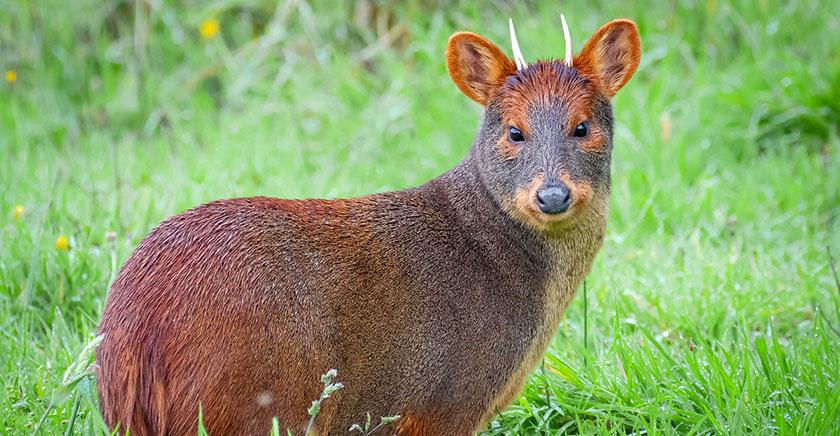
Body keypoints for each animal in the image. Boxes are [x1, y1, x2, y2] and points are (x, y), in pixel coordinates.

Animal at [95, 15, 640, 434]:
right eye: (514, 132)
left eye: (582, 127)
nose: (552, 194)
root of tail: (132, 333)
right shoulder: (445, 399)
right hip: (251, 399)